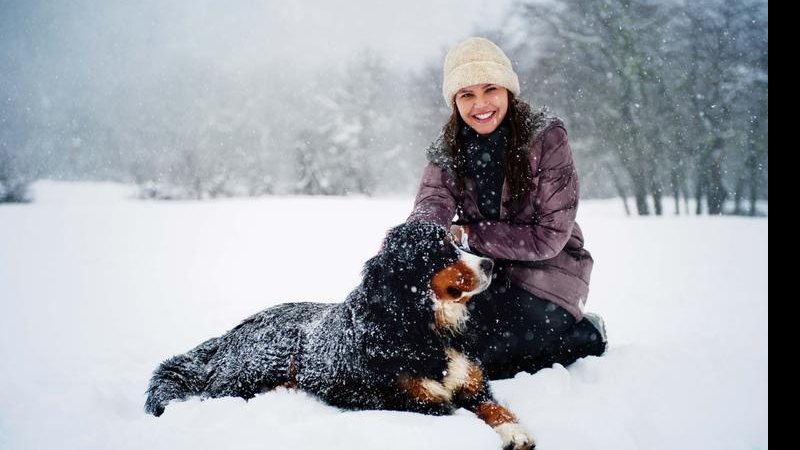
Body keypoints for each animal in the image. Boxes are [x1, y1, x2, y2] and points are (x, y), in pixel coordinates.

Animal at [147, 221, 536, 450]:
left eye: (457, 241)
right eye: (440, 250)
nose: (490, 263)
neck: (424, 326)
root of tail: (228, 335)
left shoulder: (472, 383)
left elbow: (493, 407)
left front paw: (515, 431)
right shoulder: (410, 399)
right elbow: (458, 411)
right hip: (258, 369)